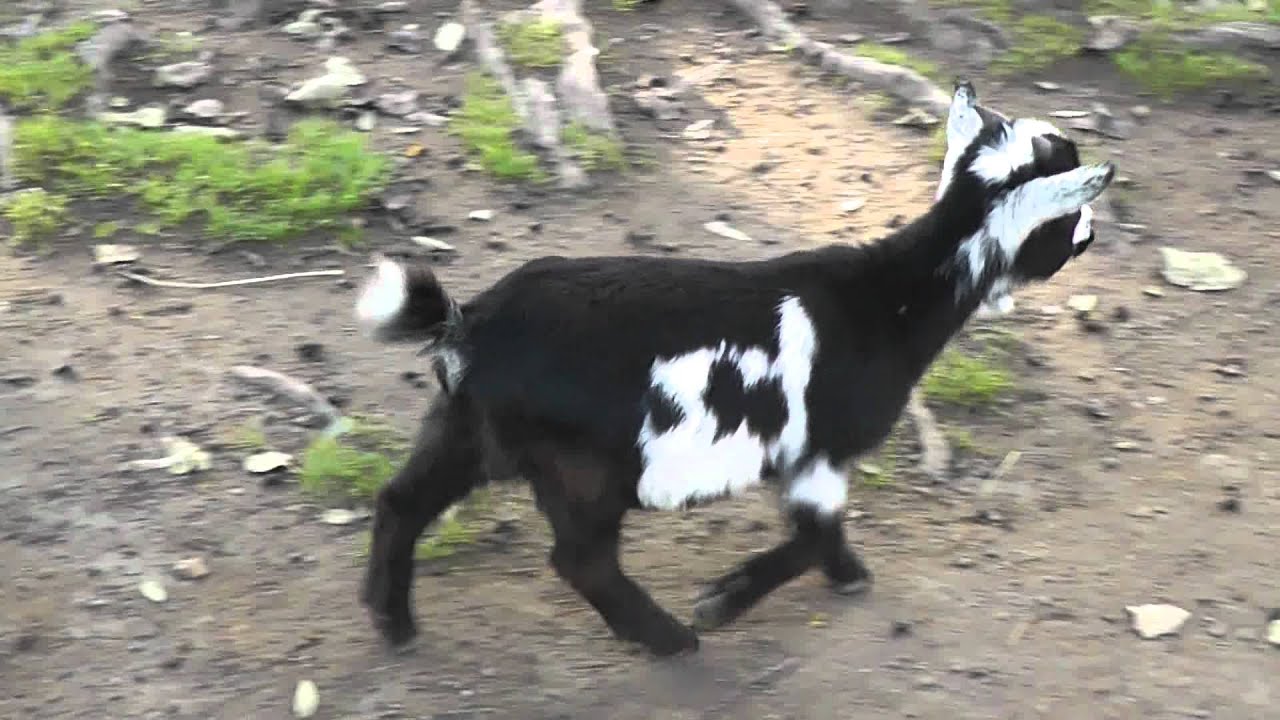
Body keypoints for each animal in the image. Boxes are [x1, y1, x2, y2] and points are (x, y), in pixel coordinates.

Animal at [354, 80, 1114, 657]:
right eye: (1069, 210)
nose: (1089, 237)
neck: (888, 299)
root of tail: (466, 327)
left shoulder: (809, 453)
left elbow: (817, 532)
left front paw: (836, 576)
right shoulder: (819, 447)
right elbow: (812, 532)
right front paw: (728, 600)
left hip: (465, 429)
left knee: (400, 502)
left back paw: (392, 622)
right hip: (582, 469)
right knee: (581, 561)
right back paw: (669, 638)